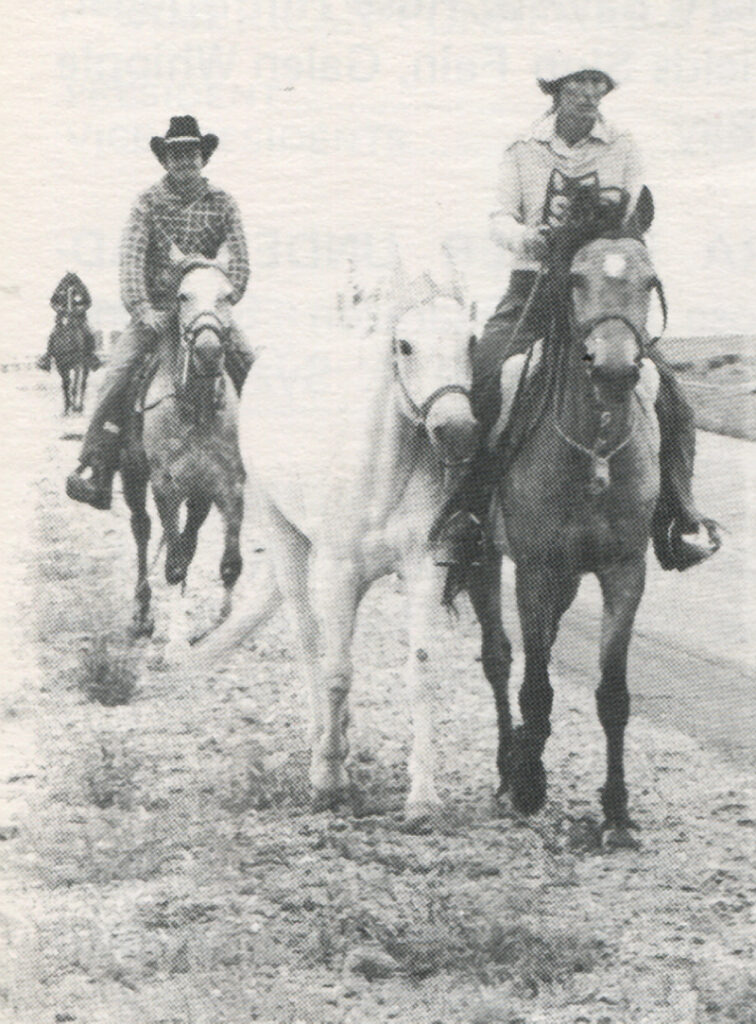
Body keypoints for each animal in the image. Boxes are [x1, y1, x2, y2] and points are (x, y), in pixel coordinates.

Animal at [119, 251, 244, 659]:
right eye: (183, 296)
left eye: (227, 296)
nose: (208, 351)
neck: (197, 407)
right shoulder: (167, 488)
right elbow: (173, 564)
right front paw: (176, 641)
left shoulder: (229, 486)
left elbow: (229, 564)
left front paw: (221, 626)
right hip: (133, 477)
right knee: (142, 531)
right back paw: (143, 614)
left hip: (200, 496)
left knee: (187, 543)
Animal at [182, 256, 477, 823]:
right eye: (405, 345)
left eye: (471, 340)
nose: (456, 430)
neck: (383, 467)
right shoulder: (336, 571)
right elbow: (335, 670)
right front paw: (328, 778)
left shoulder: (424, 567)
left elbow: (419, 670)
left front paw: (423, 796)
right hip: (288, 543)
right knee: (308, 644)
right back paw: (323, 738)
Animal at [452, 190, 659, 847]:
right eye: (574, 280)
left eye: (649, 281)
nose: (614, 370)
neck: (593, 450)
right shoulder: (535, 573)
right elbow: (536, 686)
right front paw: (528, 784)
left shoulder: (624, 573)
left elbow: (613, 696)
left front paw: (616, 813)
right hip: (485, 559)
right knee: (499, 659)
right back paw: (508, 767)